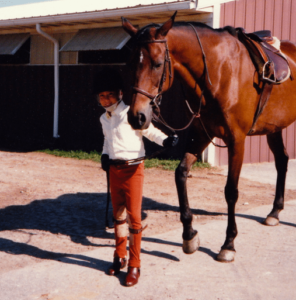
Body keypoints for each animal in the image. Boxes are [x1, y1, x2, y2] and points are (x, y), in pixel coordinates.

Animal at [121, 12, 296, 262]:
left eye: (157, 64)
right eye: (130, 64)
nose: (137, 117)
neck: (219, 70)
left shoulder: (236, 140)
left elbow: (231, 191)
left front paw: (228, 243)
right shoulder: (201, 134)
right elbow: (181, 174)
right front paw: (189, 235)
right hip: (274, 127)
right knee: (282, 160)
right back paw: (274, 212)